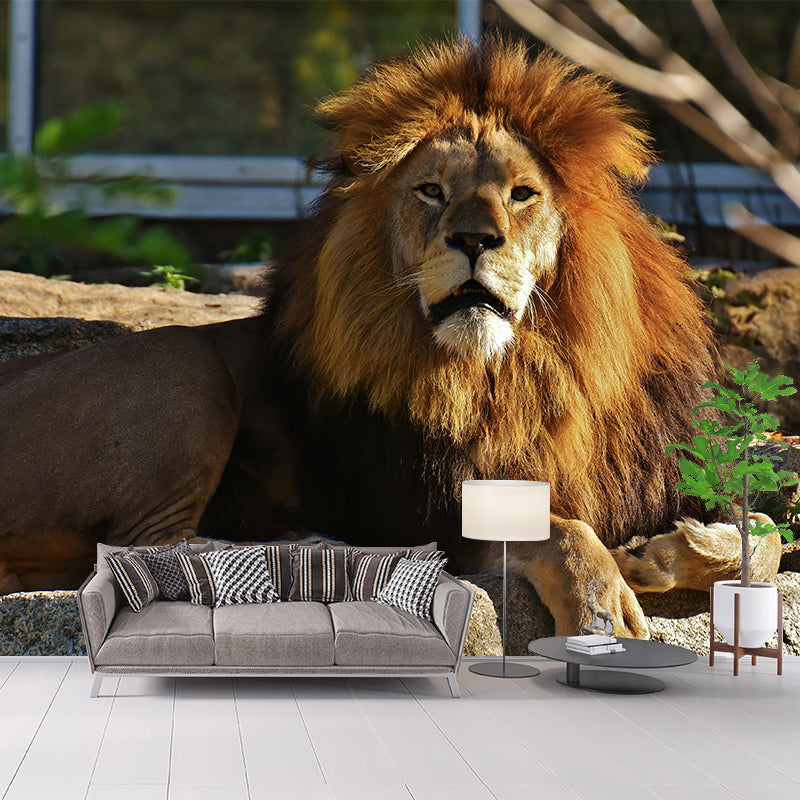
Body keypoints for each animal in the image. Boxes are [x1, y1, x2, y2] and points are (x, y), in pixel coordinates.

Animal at [0, 37, 724, 637]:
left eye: (522, 194)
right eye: (430, 191)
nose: (473, 240)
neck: (515, 376)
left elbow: (745, 534)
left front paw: (670, 554)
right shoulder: (427, 507)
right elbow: (556, 527)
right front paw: (602, 608)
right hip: (182, 362)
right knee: (152, 549)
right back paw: (316, 550)